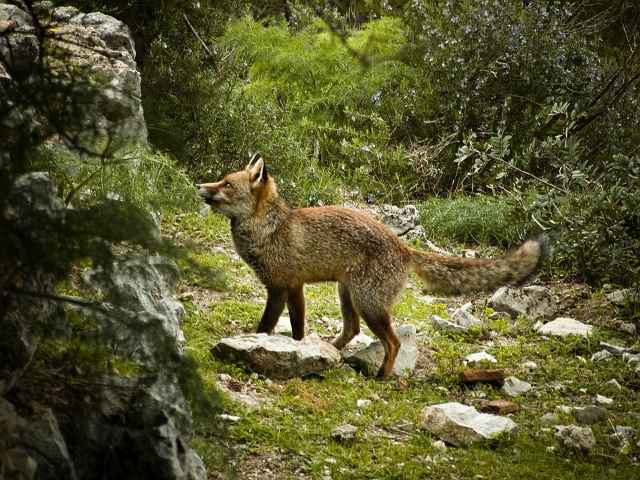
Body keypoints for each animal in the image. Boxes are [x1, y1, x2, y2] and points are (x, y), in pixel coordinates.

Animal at [196, 154, 552, 378]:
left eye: (227, 184)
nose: (199, 186)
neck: (270, 230)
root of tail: (403, 246)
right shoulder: (296, 287)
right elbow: (298, 331)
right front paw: (299, 353)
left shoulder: (279, 287)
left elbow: (264, 327)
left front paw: (257, 345)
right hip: (347, 294)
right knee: (352, 330)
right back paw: (331, 351)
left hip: (368, 303)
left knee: (393, 342)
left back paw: (381, 376)